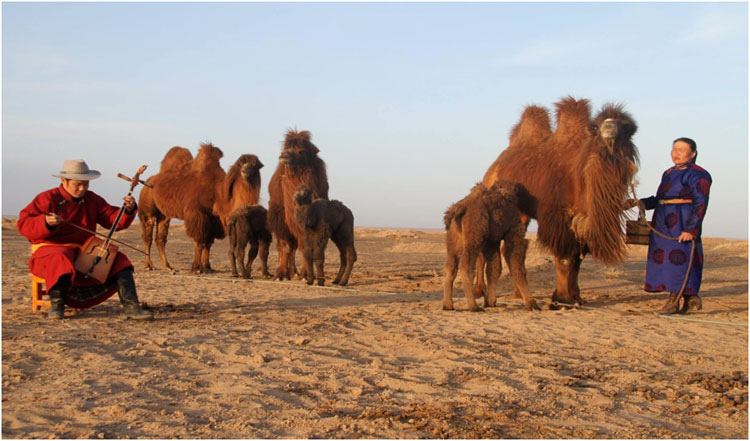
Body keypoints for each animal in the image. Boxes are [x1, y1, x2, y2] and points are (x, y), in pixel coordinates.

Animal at [268, 129, 330, 278]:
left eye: (302, 151)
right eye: (286, 148)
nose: (284, 155)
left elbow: (305, 245)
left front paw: (305, 273)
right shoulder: (281, 220)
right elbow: (285, 245)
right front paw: (281, 273)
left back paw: (294, 271)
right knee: (286, 247)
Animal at [440, 180, 540, 312]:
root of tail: (459, 208)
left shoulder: (492, 240)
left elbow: (493, 268)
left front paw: (490, 301)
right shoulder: (513, 232)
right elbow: (516, 265)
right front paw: (532, 303)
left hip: (453, 238)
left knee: (450, 266)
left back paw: (448, 305)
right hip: (474, 234)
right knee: (466, 266)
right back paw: (473, 306)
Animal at [482, 95, 640, 310]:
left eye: (628, 127)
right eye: (596, 126)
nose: (609, 127)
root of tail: (492, 169)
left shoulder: (580, 220)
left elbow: (577, 260)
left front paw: (576, 297)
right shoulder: (557, 216)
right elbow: (565, 258)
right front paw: (562, 298)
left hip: (521, 213)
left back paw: (517, 294)